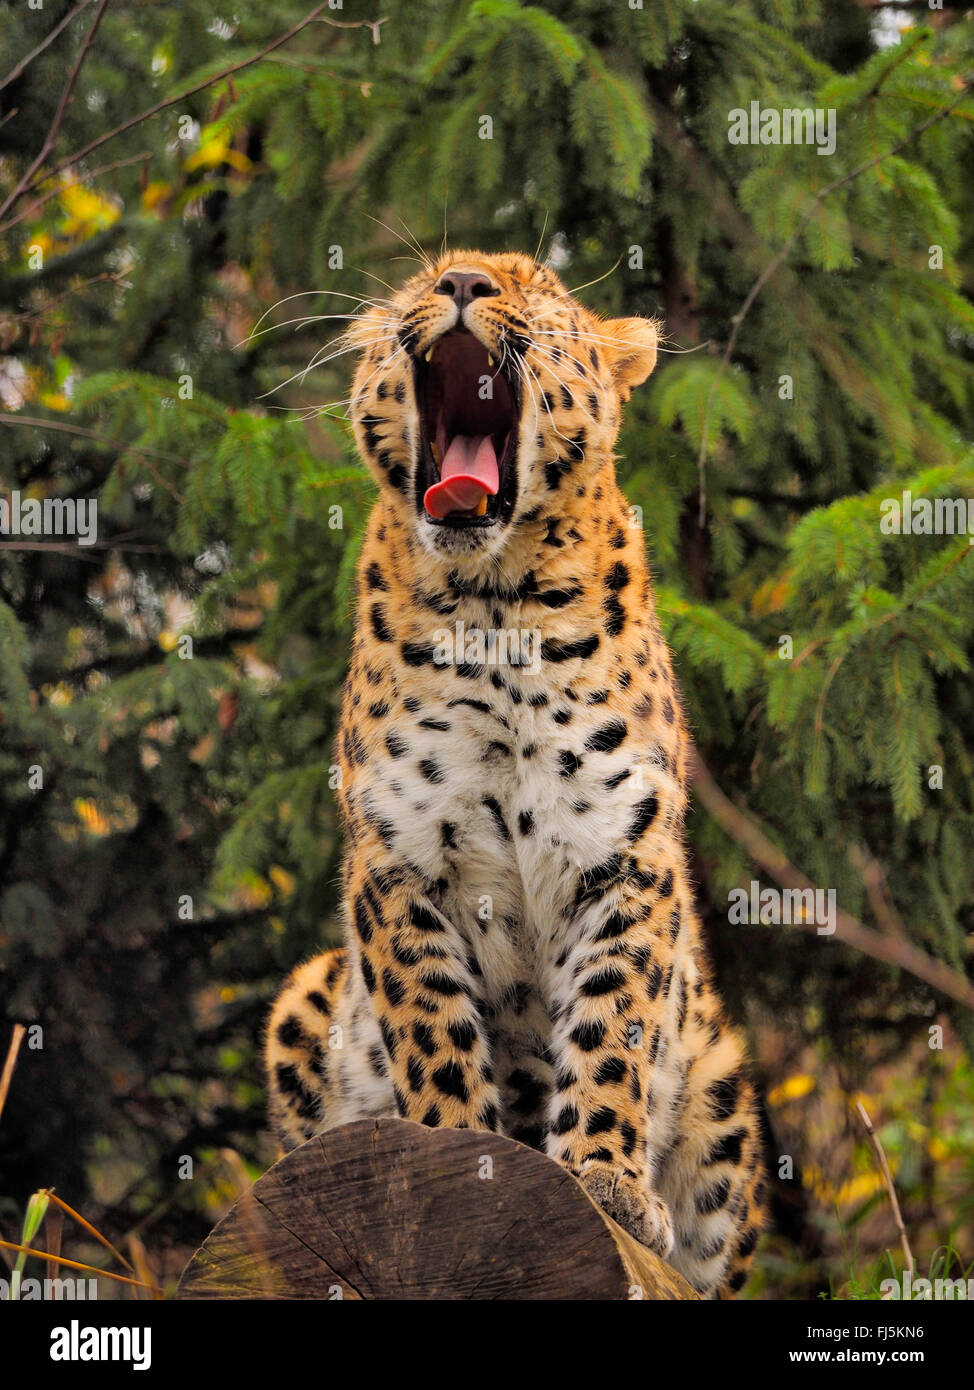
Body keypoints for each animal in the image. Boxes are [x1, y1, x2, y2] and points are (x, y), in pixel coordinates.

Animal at [265, 247, 766, 1289]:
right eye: (425, 279)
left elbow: (612, 1028)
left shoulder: (623, 852)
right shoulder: (397, 857)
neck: (494, 604)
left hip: (723, 1096)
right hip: (305, 998)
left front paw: (607, 1178)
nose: (461, 283)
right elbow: (431, 1027)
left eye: (532, 286)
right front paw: (459, 1152)